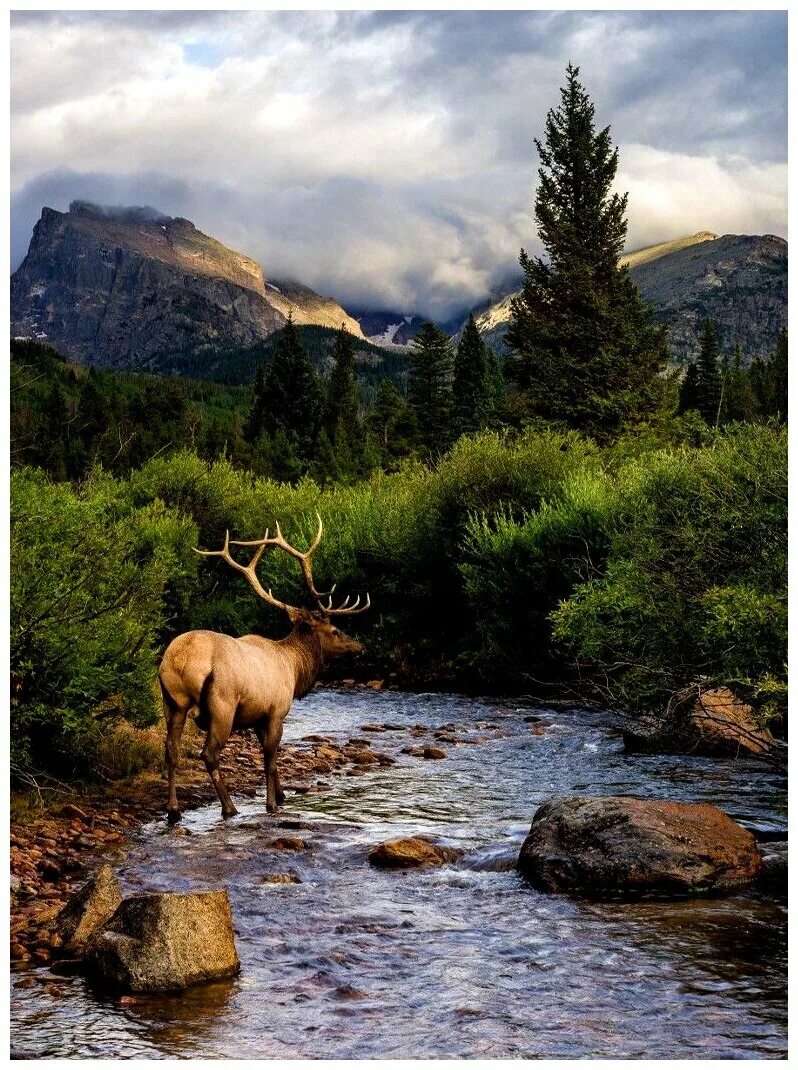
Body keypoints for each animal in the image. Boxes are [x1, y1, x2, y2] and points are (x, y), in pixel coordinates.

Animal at [158, 513, 370, 821]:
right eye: (334, 630)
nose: (361, 647)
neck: (294, 668)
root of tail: (181, 661)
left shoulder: (258, 715)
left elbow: (269, 755)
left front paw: (281, 794)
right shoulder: (276, 711)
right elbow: (270, 757)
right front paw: (272, 803)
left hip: (171, 701)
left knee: (170, 750)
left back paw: (173, 809)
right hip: (222, 704)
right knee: (209, 754)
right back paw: (229, 807)